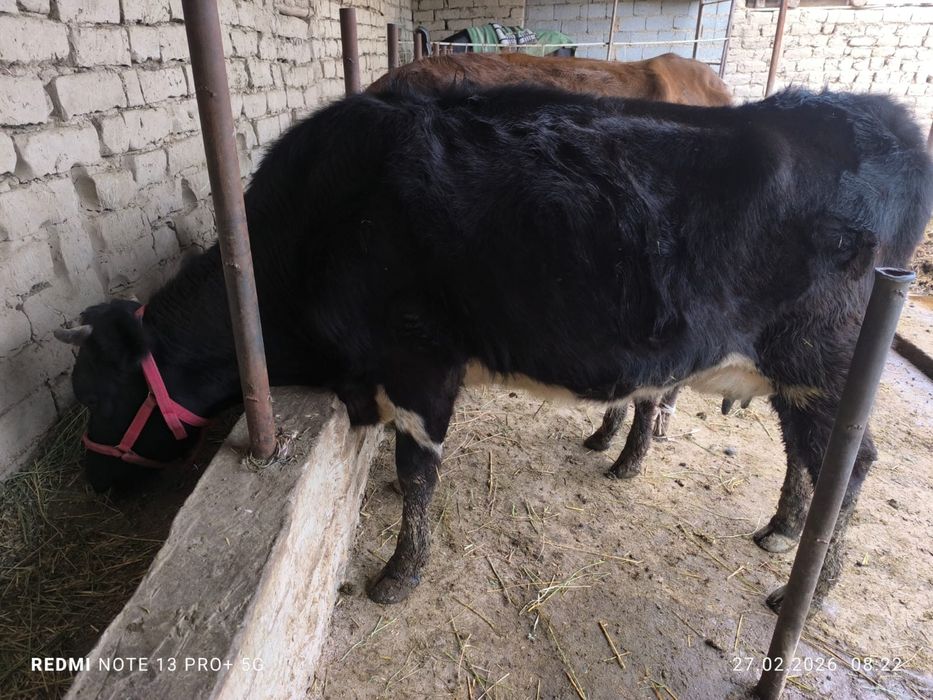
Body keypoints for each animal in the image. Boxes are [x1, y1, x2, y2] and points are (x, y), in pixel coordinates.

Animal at [55, 85, 932, 613]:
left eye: (93, 393)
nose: (93, 485)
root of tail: (875, 113)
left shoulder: (419, 359)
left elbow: (418, 471)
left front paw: (397, 574)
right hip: (794, 371)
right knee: (802, 457)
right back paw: (781, 529)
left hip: (824, 359)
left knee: (848, 465)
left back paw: (803, 591)